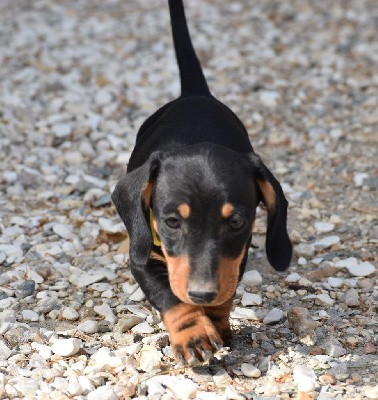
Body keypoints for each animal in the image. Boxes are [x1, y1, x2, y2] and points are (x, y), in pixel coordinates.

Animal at [112, 0, 292, 364]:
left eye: (236, 222)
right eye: (171, 222)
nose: (202, 293)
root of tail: (195, 94)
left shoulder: (236, 255)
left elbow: (227, 287)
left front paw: (216, 322)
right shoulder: (143, 256)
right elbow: (170, 296)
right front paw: (193, 333)